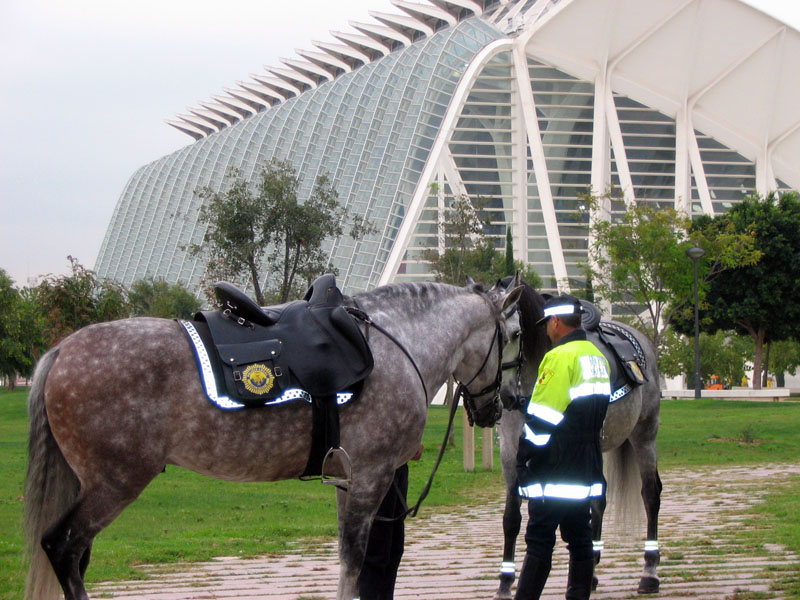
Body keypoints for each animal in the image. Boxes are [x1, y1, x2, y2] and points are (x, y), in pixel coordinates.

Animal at [23, 282, 524, 600]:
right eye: (515, 334)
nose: (505, 403)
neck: (398, 346)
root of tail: (62, 351)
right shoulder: (371, 476)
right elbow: (354, 561)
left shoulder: (349, 479)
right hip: (114, 484)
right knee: (62, 548)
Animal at [494, 278, 664, 596]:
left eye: (515, 334)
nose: (504, 395)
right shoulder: (511, 454)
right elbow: (512, 518)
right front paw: (505, 583)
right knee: (599, 500)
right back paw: (593, 570)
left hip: (644, 436)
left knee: (650, 494)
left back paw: (650, 571)